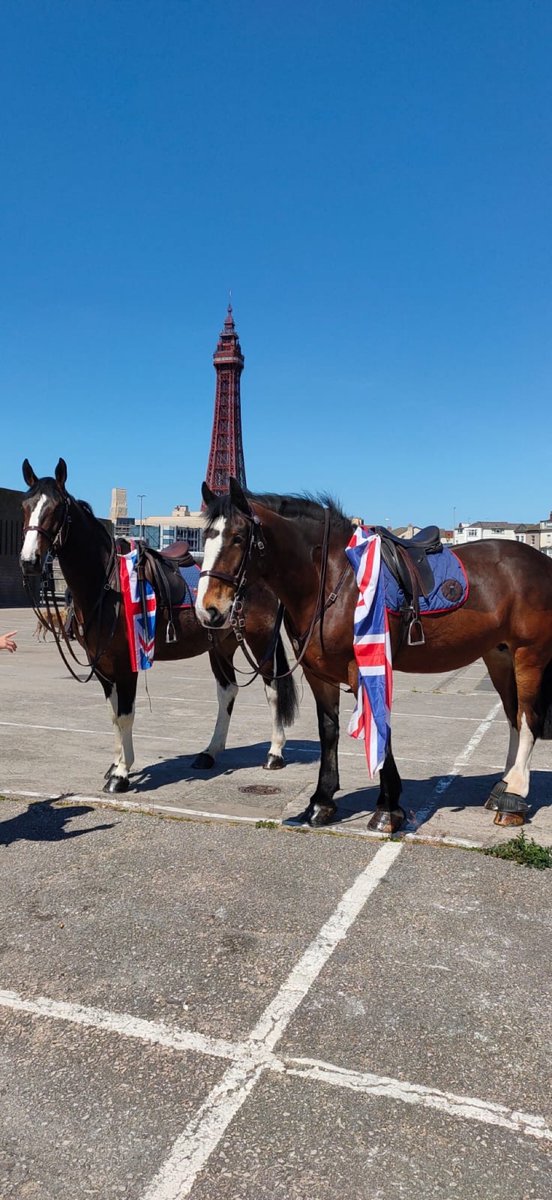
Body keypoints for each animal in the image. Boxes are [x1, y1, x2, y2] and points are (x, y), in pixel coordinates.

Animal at [19, 463, 297, 792]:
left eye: (56, 508)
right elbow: (114, 714)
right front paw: (116, 764)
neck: (107, 584)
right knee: (227, 691)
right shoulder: (102, 665)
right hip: (221, 645)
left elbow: (125, 715)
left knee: (272, 688)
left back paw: (274, 753)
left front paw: (121, 774)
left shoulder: (126, 664)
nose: (29, 561)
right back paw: (210, 753)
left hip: (259, 638)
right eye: (25, 506)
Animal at [196, 475, 552, 825]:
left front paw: (388, 809)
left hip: (528, 656)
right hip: (499, 656)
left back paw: (513, 796)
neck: (332, 579)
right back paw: (501, 787)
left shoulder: (363, 668)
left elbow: (380, 727)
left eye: (238, 537)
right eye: (205, 536)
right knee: (513, 716)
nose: (208, 610)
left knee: (528, 718)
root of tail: (542, 561)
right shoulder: (318, 674)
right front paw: (322, 802)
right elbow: (328, 731)